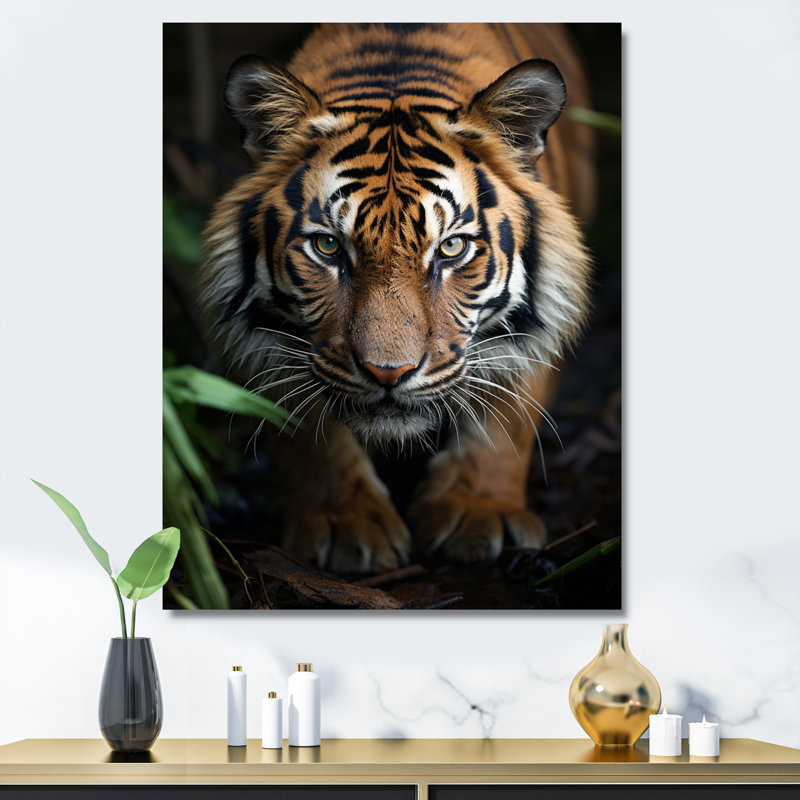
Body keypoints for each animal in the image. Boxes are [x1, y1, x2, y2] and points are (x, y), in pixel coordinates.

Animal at [200, 23, 595, 573]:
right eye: (328, 246)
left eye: (451, 247)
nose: (389, 373)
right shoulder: (272, 343)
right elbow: (307, 438)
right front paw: (343, 524)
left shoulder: (536, 327)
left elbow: (507, 421)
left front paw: (479, 512)